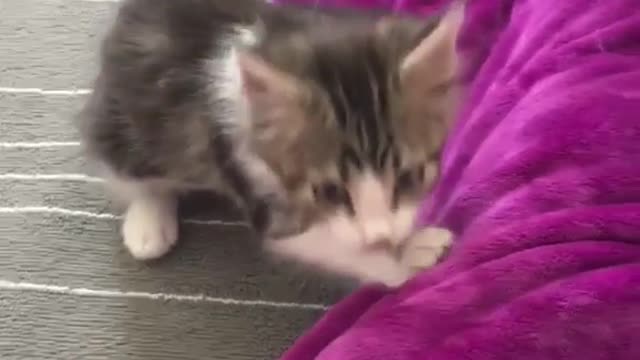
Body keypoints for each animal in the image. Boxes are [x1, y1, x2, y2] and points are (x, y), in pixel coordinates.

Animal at [79, 0, 460, 286]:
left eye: (409, 177)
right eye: (330, 191)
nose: (381, 237)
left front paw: (407, 242)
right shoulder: (250, 177)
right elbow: (328, 244)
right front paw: (401, 262)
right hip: (121, 131)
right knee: (135, 174)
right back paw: (149, 222)